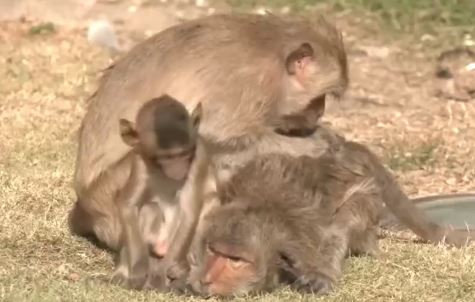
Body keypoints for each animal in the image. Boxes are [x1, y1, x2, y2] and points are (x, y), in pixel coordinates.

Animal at [109, 95, 214, 290]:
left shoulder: (199, 158)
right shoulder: (140, 160)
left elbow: (189, 213)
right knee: (148, 208)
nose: (179, 169)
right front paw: (138, 269)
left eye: (185, 153)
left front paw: (163, 274)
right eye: (166, 157)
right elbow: (128, 205)